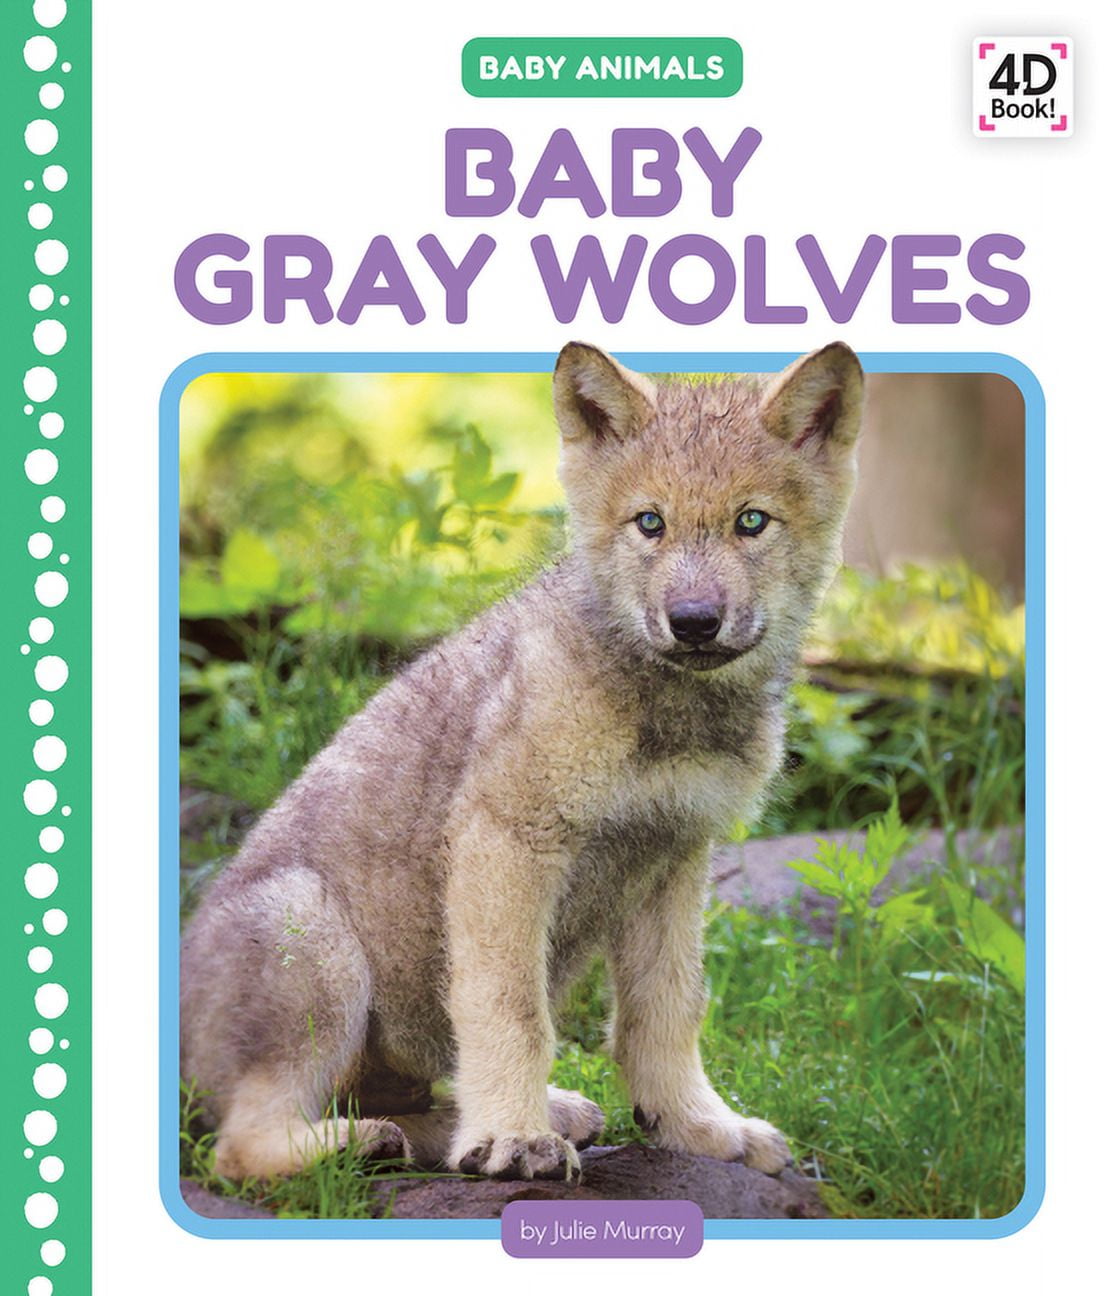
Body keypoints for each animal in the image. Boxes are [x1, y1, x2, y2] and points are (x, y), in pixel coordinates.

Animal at [180, 341, 864, 1184]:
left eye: (751, 522)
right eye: (650, 523)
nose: (695, 622)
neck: (665, 713)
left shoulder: (673, 854)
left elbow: (666, 1013)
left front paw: (699, 1127)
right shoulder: (509, 844)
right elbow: (515, 1012)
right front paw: (512, 1137)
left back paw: (508, 1121)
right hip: (316, 940)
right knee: (237, 1148)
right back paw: (369, 1142)